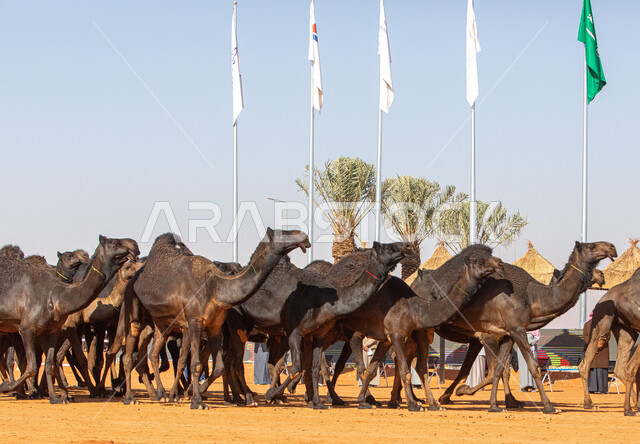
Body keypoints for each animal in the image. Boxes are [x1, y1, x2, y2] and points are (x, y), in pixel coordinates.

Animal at [0, 236, 139, 403]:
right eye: (115, 242)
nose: (135, 244)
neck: (57, 297)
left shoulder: (51, 331)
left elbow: (49, 362)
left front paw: (56, 397)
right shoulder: (28, 329)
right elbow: (32, 365)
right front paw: (7, 387)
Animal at [122, 228, 310, 409]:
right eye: (283, 234)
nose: (305, 237)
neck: (215, 287)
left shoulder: (216, 326)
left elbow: (219, 366)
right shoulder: (194, 322)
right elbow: (196, 363)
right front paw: (197, 400)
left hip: (161, 323)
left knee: (153, 354)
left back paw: (162, 394)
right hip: (134, 310)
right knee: (130, 351)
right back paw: (133, 397)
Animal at [431, 241, 616, 414]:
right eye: (591, 246)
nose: (612, 247)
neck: (531, 296)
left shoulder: (508, 333)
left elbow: (500, 369)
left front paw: (505, 403)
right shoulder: (497, 334)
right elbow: (529, 367)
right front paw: (549, 406)